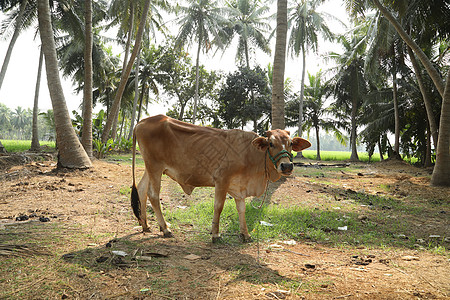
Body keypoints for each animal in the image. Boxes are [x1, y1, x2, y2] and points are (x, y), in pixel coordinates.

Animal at [132, 113, 312, 243]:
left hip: (150, 168)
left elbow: (241, 209)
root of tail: (141, 122)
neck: (250, 154)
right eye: (271, 144)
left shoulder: (239, 187)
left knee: (141, 190)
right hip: (155, 167)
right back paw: (165, 228)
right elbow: (218, 207)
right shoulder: (221, 181)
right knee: (153, 195)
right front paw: (215, 235)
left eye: (290, 143)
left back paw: (145, 225)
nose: (287, 166)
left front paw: (245, 234)